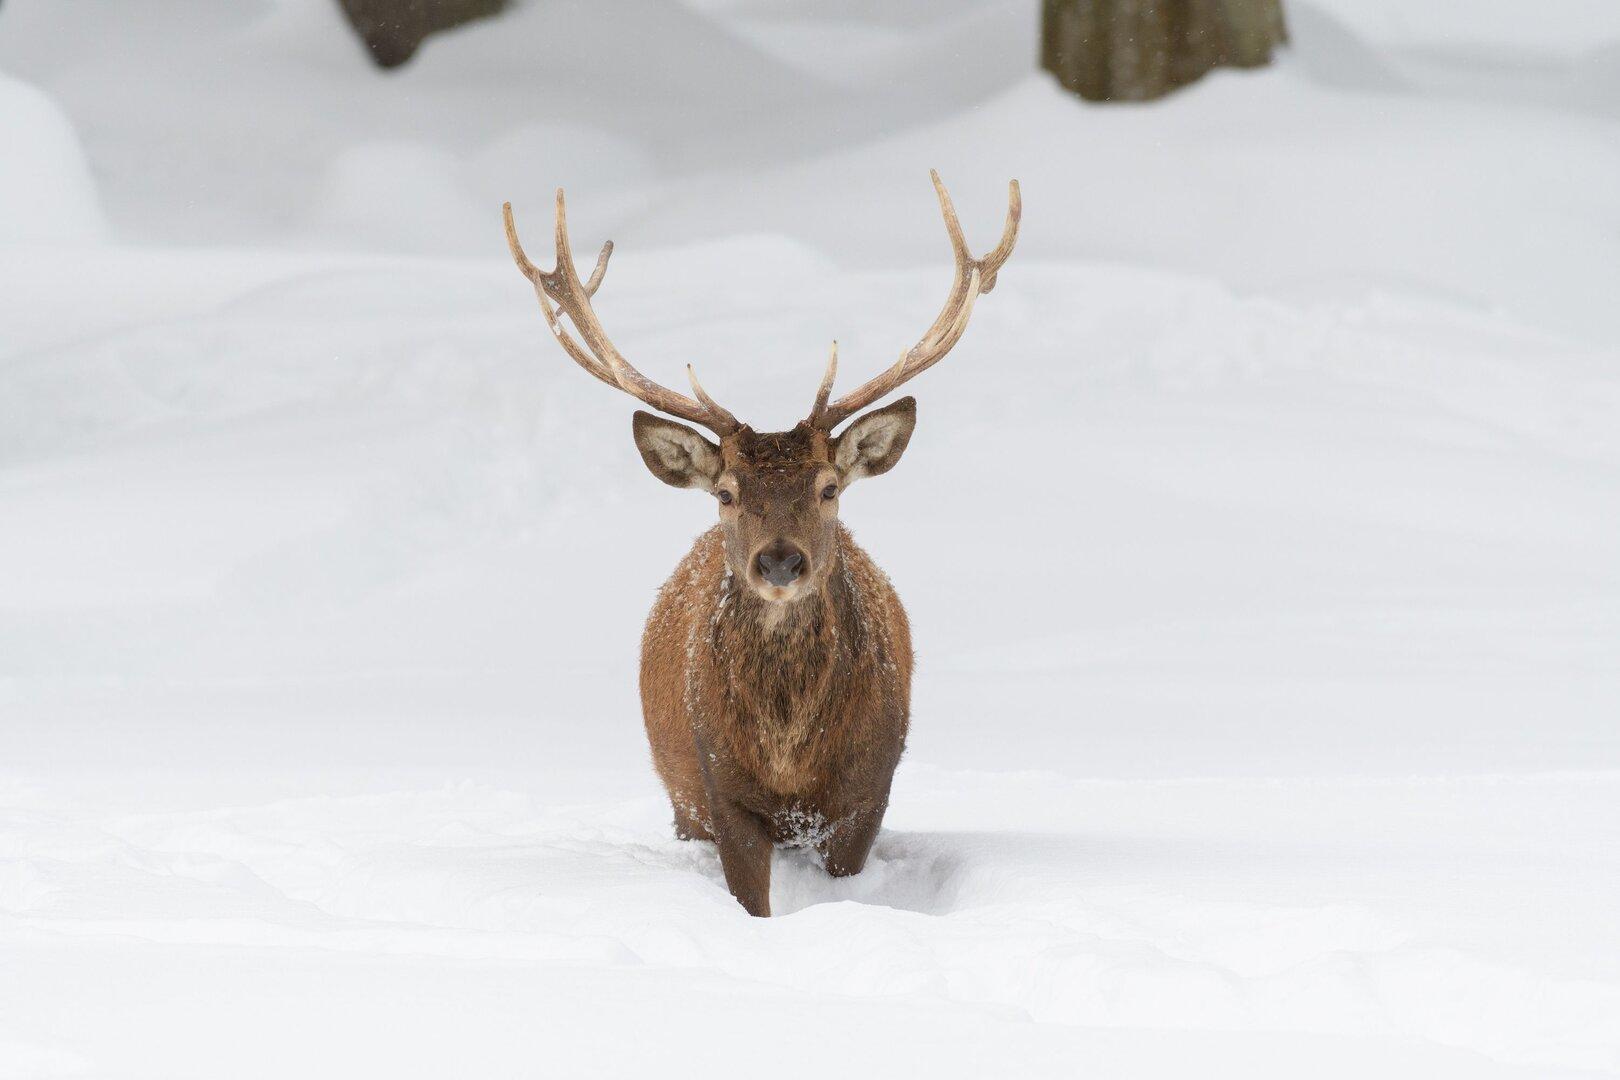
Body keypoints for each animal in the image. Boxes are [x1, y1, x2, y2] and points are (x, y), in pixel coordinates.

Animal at [502, 173, 1019, 916]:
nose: (779, 559)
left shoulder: (868, 791)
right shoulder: (722, 790)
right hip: (680, 798)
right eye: (726, 492)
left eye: (830, 487)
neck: (790, 759)